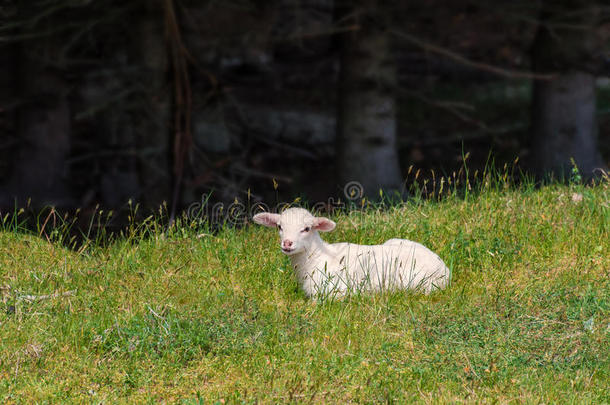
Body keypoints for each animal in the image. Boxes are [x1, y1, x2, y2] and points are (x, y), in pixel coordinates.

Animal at [251, 208, 446, 296]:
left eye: (306, 228)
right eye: (279, 226)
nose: (287, 243)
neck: (315, 259)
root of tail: (445, 268)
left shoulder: (334, 293)